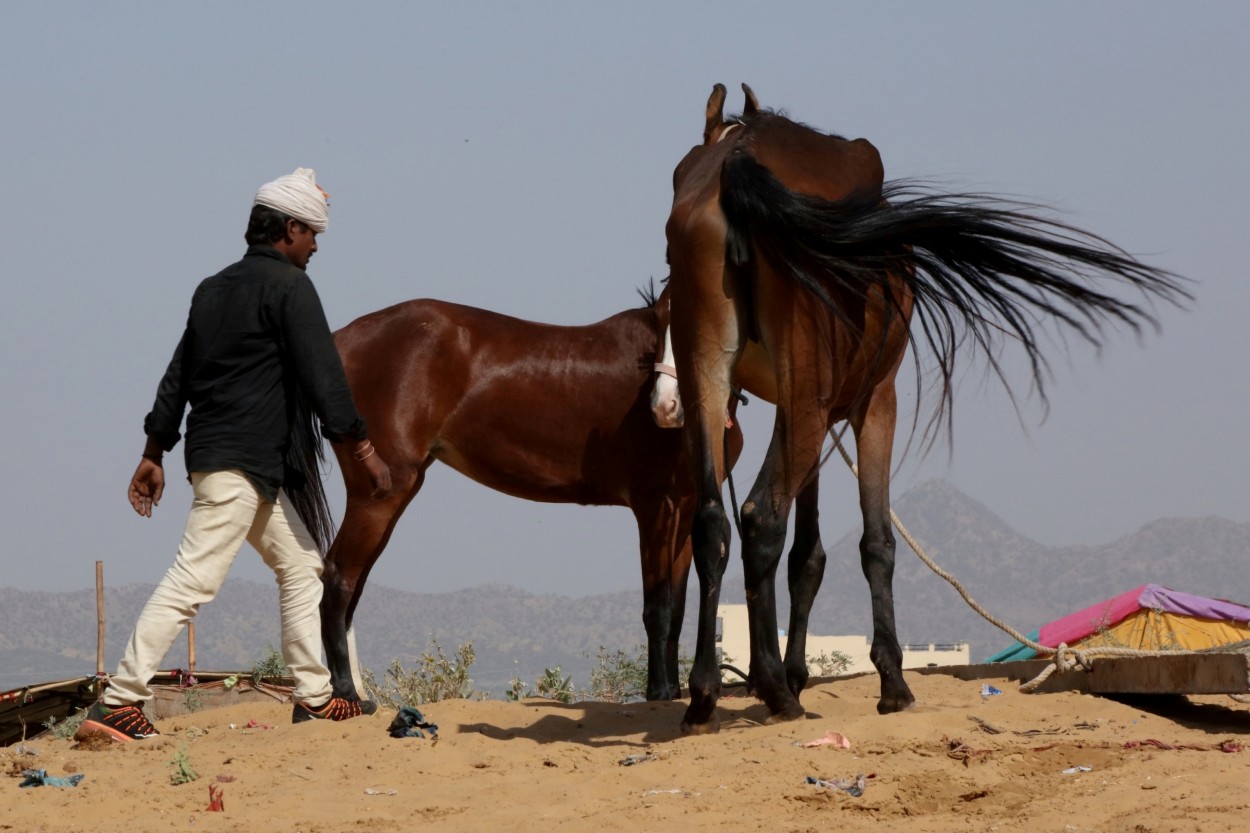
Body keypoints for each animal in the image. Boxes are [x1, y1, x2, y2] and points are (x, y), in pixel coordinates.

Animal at [306, 288, 745, 695]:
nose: (666, 407)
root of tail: (343, 339)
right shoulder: (654, 507)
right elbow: (658, 608)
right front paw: (658, 695)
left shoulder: (683, 509)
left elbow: (677, 608)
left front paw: (671, 693)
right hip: (379, 493)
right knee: (339, 578)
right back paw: (348, 696)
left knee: (352, 583)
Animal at [660, 84, 1185, 730]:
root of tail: (740, 158)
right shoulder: (871, 403)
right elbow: (876, 542)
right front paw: (890, 682)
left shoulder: (801, 410)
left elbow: (808, 555)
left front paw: (799, 673)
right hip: (812, 399)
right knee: (762, 516)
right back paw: (774, 692)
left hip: (712, 380)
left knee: (715, 521)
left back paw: (707, 693)